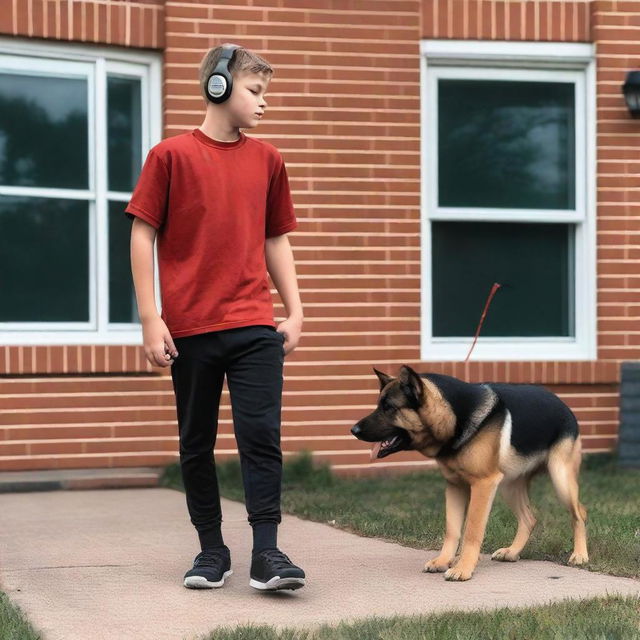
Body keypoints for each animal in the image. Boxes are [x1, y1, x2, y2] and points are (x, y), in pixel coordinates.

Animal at [352, 364, 588, 580]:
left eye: (389, 408)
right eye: (379, 405)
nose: (353, 430)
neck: (455, 418)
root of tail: (561, 403)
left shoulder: (483, 485)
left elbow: (472, 531)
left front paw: (463, 568)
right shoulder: (455, 486)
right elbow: (453, 529)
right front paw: (443, 561)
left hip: (560, 478)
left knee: (578, 513)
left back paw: (580, 555)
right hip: (509, 487)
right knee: (529, 518)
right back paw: (512, 552)